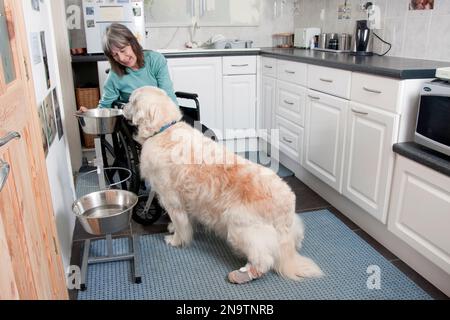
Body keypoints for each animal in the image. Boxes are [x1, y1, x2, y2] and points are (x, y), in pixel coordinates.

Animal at [121, 86, 322, 284]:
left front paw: (175, 239)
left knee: (264, 260)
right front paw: (173, 228)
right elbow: (185, 220)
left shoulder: (171, 199)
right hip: (289, 228)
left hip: (241, 228)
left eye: (131, 100)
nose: (121, 106)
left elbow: (180, 224)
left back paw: (243, 274)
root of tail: (286, 205)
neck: (162, 129)